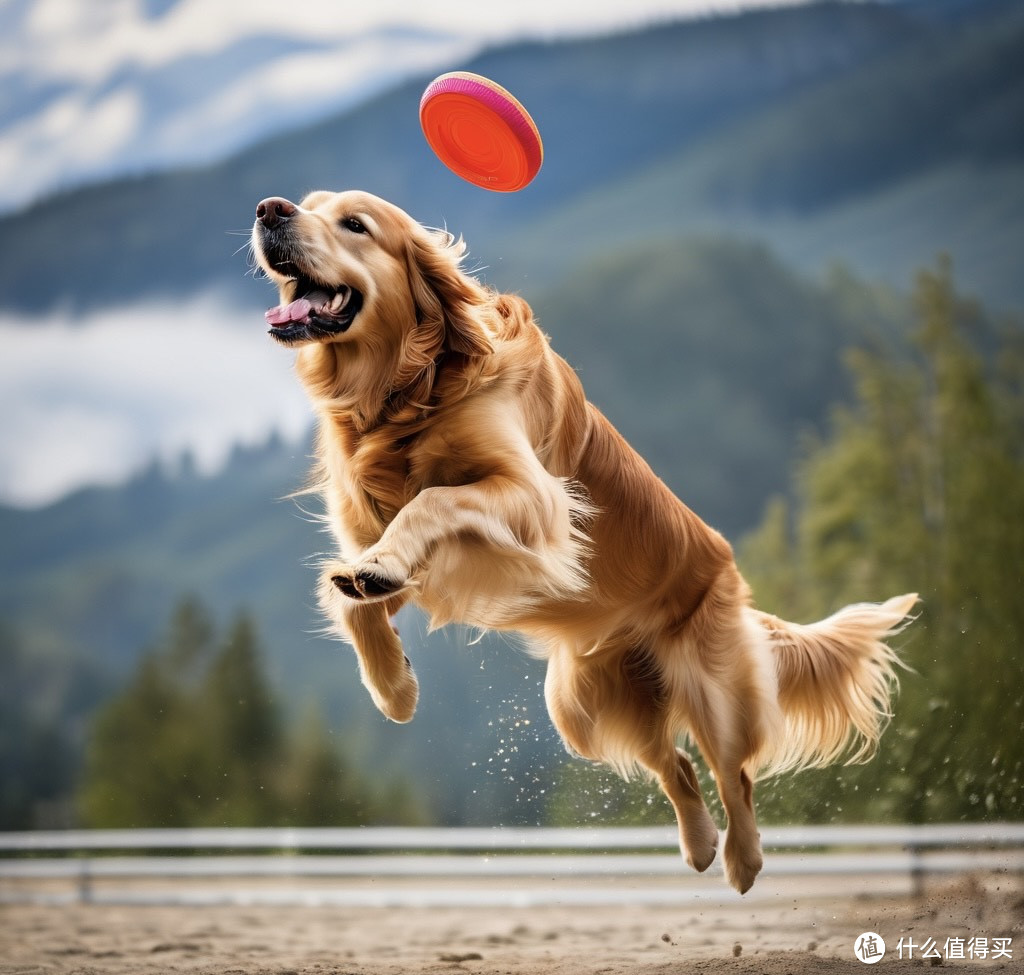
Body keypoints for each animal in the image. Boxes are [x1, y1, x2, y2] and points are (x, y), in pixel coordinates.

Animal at [249, 188, 921, 893]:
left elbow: (431, 501)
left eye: (355, 224)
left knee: (733, 772)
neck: (409, 389)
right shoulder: (432, 560)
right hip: (581, 708)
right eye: (308, 203)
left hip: (712, 689)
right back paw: (700, 845)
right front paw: (395, 689)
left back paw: (742, 860)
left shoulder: (533, 499)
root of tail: (734, 579)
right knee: (676, 766)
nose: (270, 210)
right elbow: (351, 593)